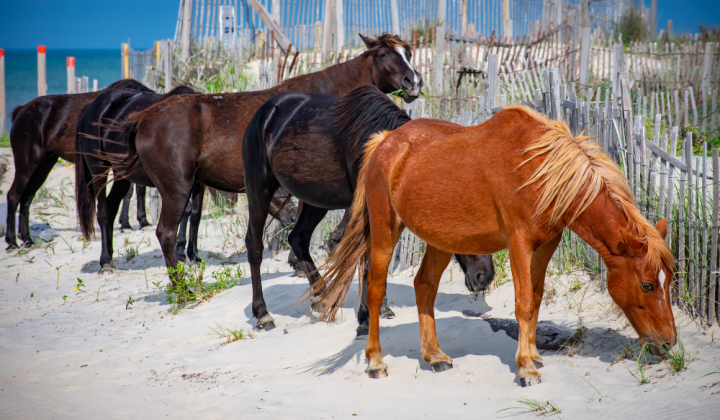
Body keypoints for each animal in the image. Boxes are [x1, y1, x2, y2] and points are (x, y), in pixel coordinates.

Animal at [5, 79, 152, 249]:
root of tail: (21, 110)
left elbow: (138, 189)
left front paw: (139, 222)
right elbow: (132, 192)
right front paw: (130, 223)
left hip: (44, 165)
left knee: (26, 198)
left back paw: (27, 239)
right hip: (26, 165)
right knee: (13, 196)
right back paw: (12, 241)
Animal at [75, 86, 207, 273]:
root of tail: (90, 108)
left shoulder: (199, 182)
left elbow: (194, 213)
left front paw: (192, 255)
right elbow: (185, 212)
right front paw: (180, 253)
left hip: (122, 175)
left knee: (111, 208)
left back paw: (110, 256)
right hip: (99, 170)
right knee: (103, 211)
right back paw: (106, 261)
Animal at [112, 33, 424, 286]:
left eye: (408, 54)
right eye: (383, 55)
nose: (413, 81)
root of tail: (144, 118)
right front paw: (311, 253)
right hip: (176, 188)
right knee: (164, 232)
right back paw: (182, 289)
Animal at [243, 85, 495, 332]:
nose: (485, 277)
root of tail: (264, 113)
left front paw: (380, 309)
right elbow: (368, 260)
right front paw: (365, 316)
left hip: (316, 199)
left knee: (298, 238)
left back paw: (321, 297)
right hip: (259, 191)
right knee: (255, 246)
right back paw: (263, 314)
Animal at [313, 106, 677, 387]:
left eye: (669, 281)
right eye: (647, 284)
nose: (669, 341)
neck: (539, 169)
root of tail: (385, 142)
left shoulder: (546, 245)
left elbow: (536, 298)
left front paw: (533, 356)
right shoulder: (519, 243)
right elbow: (523, 304)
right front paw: (526, 368)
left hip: (440, 240)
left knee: (424, 286)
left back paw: (435, 355)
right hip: (385, 233)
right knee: (375, 290)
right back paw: (376, 361)